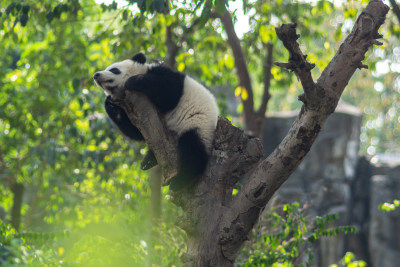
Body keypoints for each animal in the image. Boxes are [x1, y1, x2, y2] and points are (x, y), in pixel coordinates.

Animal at [93, 52, 219, 191]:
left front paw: (132, 81)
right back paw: (148, 161)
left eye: (114, 70)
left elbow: (169, 92)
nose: (96, 75)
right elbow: (135, 131)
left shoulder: (166, 76)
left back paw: (179, 180)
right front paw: (109, 103)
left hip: (199, 125)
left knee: (193, 149)